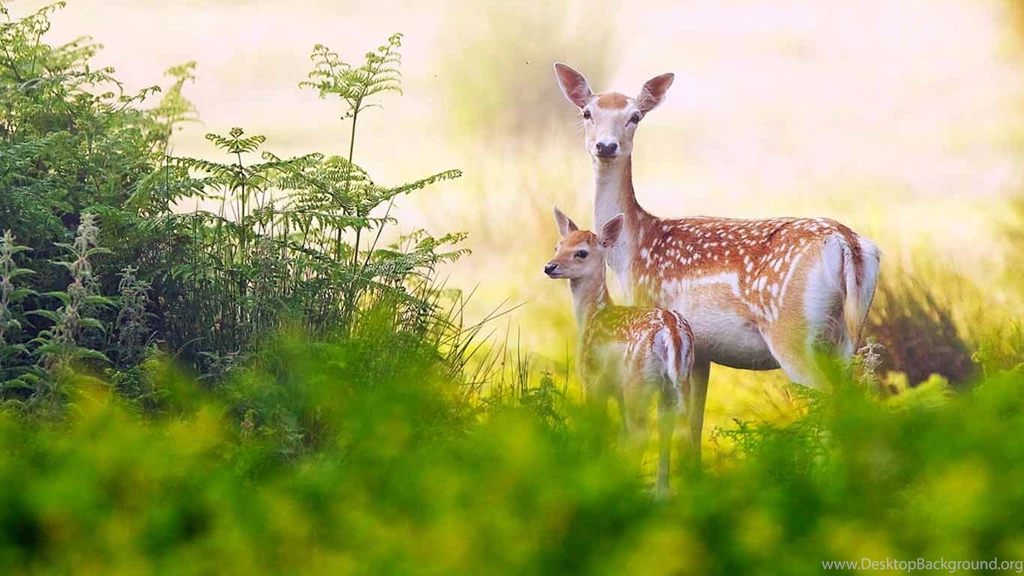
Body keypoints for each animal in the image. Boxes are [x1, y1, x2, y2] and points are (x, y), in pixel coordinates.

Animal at [545, 207, 695, 497]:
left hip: (638, 380)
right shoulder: (617, 389)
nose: (549, 266)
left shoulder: (593, 378)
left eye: (581, 252)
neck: (593, 315)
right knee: (676, 427)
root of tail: (671, 331)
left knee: (642, 431)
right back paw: (664, 491)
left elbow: (598, 426)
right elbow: (621, 432)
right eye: (558, 245)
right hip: (678, 381)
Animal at [552, 63, 882, 459]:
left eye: (635, 116)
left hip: (793, 331)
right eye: (588, 113)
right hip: (845, 336)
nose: (605, 146)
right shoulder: (701, 352)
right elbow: (693, 427)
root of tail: (847, 244)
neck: (633, 250)